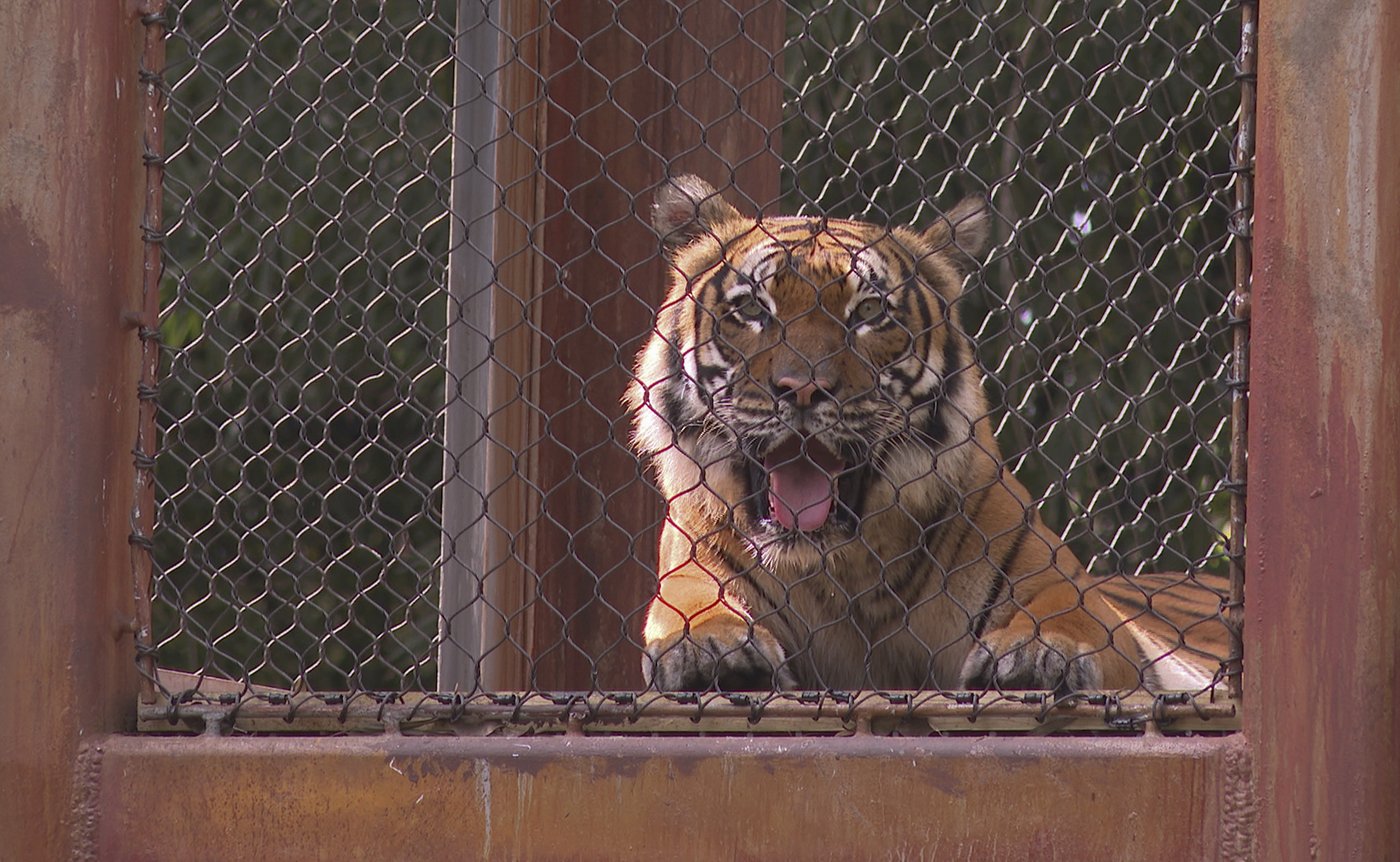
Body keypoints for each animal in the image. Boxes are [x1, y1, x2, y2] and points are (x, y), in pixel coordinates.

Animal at [625, 175, 1230, 694]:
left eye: (869, 312)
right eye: (752, 307)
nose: (802, 388)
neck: (844, 569)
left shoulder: (1079, 601)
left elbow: (1064, 614)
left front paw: (1039, 650)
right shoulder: (693, 561)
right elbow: (695, 604)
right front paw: (710, 646)